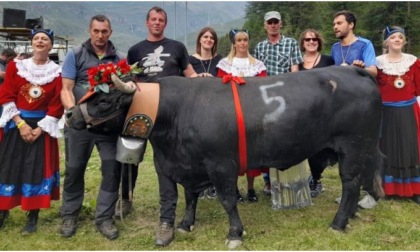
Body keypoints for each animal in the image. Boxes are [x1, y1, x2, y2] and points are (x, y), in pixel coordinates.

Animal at [65, 65, 384, 248]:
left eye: (104, 100)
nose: (69, 114)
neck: (178, 111)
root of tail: (352, 71)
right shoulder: (186, 165)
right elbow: (189, 196)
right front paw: (185, 224)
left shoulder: (221, 165)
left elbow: (228, 200)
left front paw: (235, 233)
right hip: (363, 147)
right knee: (360, 179)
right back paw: (351, 213)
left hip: (353, 145)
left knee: (350, 182)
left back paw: (338, 222)